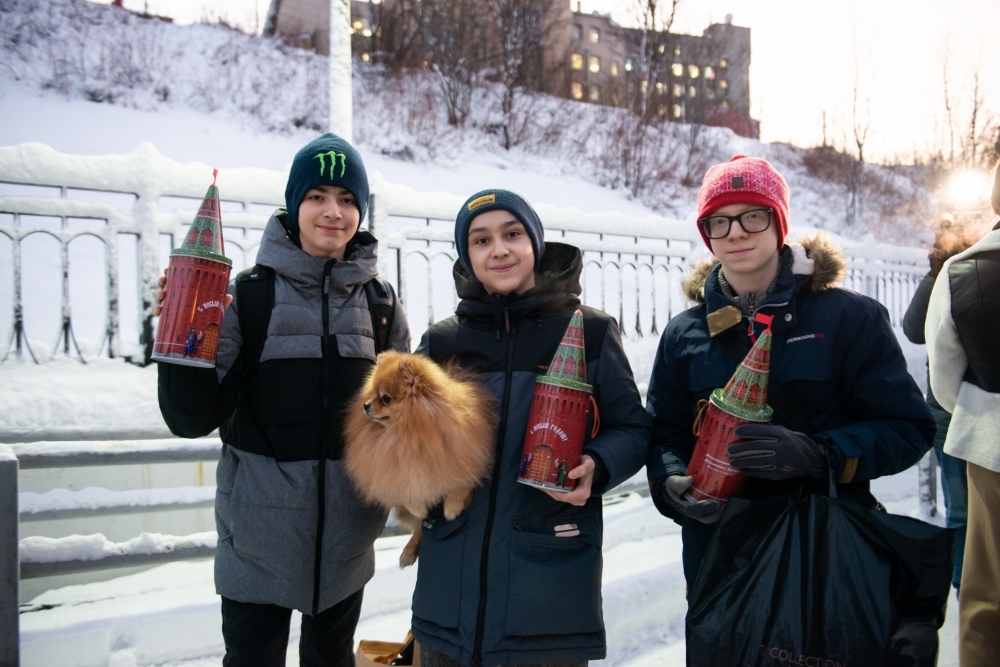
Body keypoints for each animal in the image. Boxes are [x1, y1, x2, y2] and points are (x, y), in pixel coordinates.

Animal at [344, 352, 496, 568]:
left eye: (386, 398)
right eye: (371, 394)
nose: (365, 405)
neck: (406, 434)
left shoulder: (465, 454)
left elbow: (462, 481)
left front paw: (452, 507)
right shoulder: (396, 471)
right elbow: (407, 491)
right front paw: (419, 508)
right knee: (419, 528)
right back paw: (408, 552)